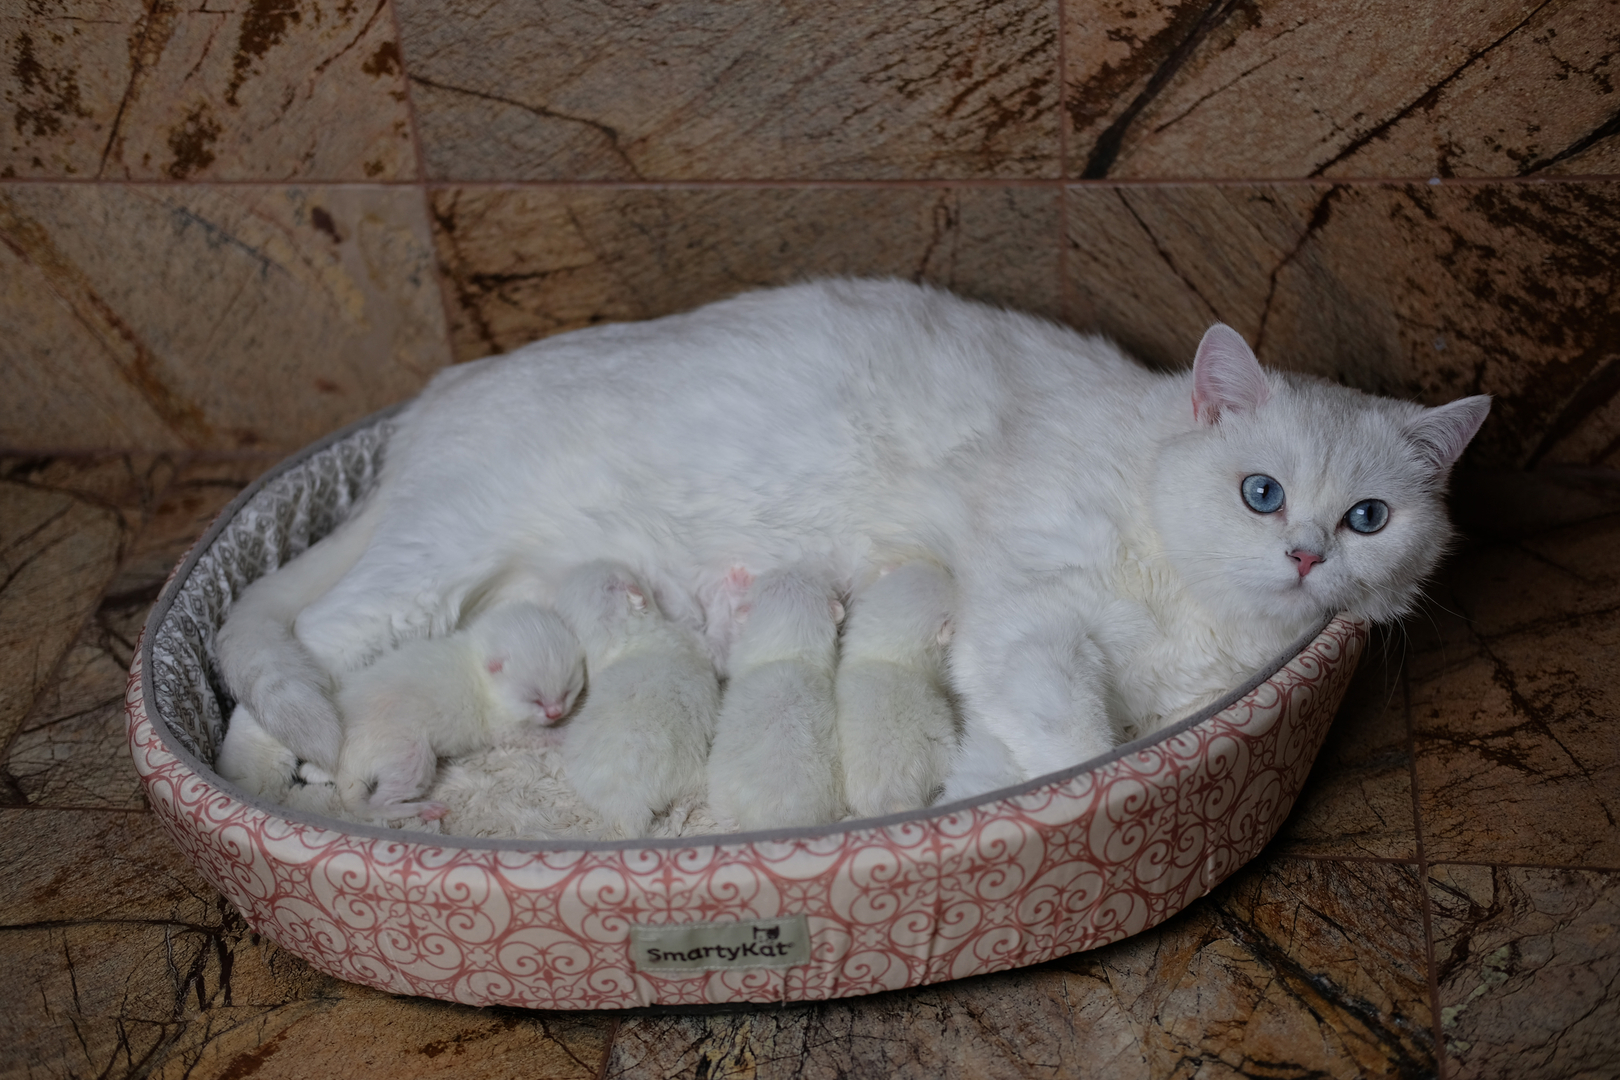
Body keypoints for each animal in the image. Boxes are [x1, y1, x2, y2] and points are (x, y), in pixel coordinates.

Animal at [332, 599, 586, 819]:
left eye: (567, 691)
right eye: (535, 700)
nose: (556, 713)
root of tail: (345, 761)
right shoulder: (502, 723)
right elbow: (534, 735)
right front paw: (563, 732)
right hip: (406, 752)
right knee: (377, 804)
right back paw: (421, 809)